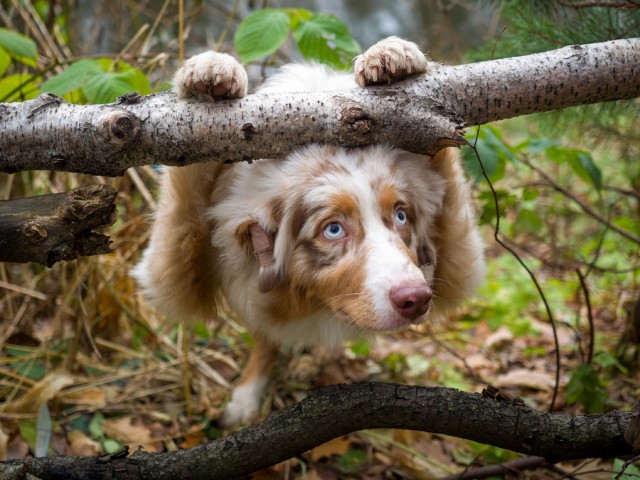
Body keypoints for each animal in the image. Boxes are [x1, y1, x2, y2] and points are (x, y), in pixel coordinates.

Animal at [135, 38, 484, 428]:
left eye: (401, 216)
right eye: (333, 229)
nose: (416, 299)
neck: (309, 301)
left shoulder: (456, 256)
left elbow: (442, 154)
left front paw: (395, 57)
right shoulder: (179, 269)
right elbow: (188, 175)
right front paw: (210, 71)